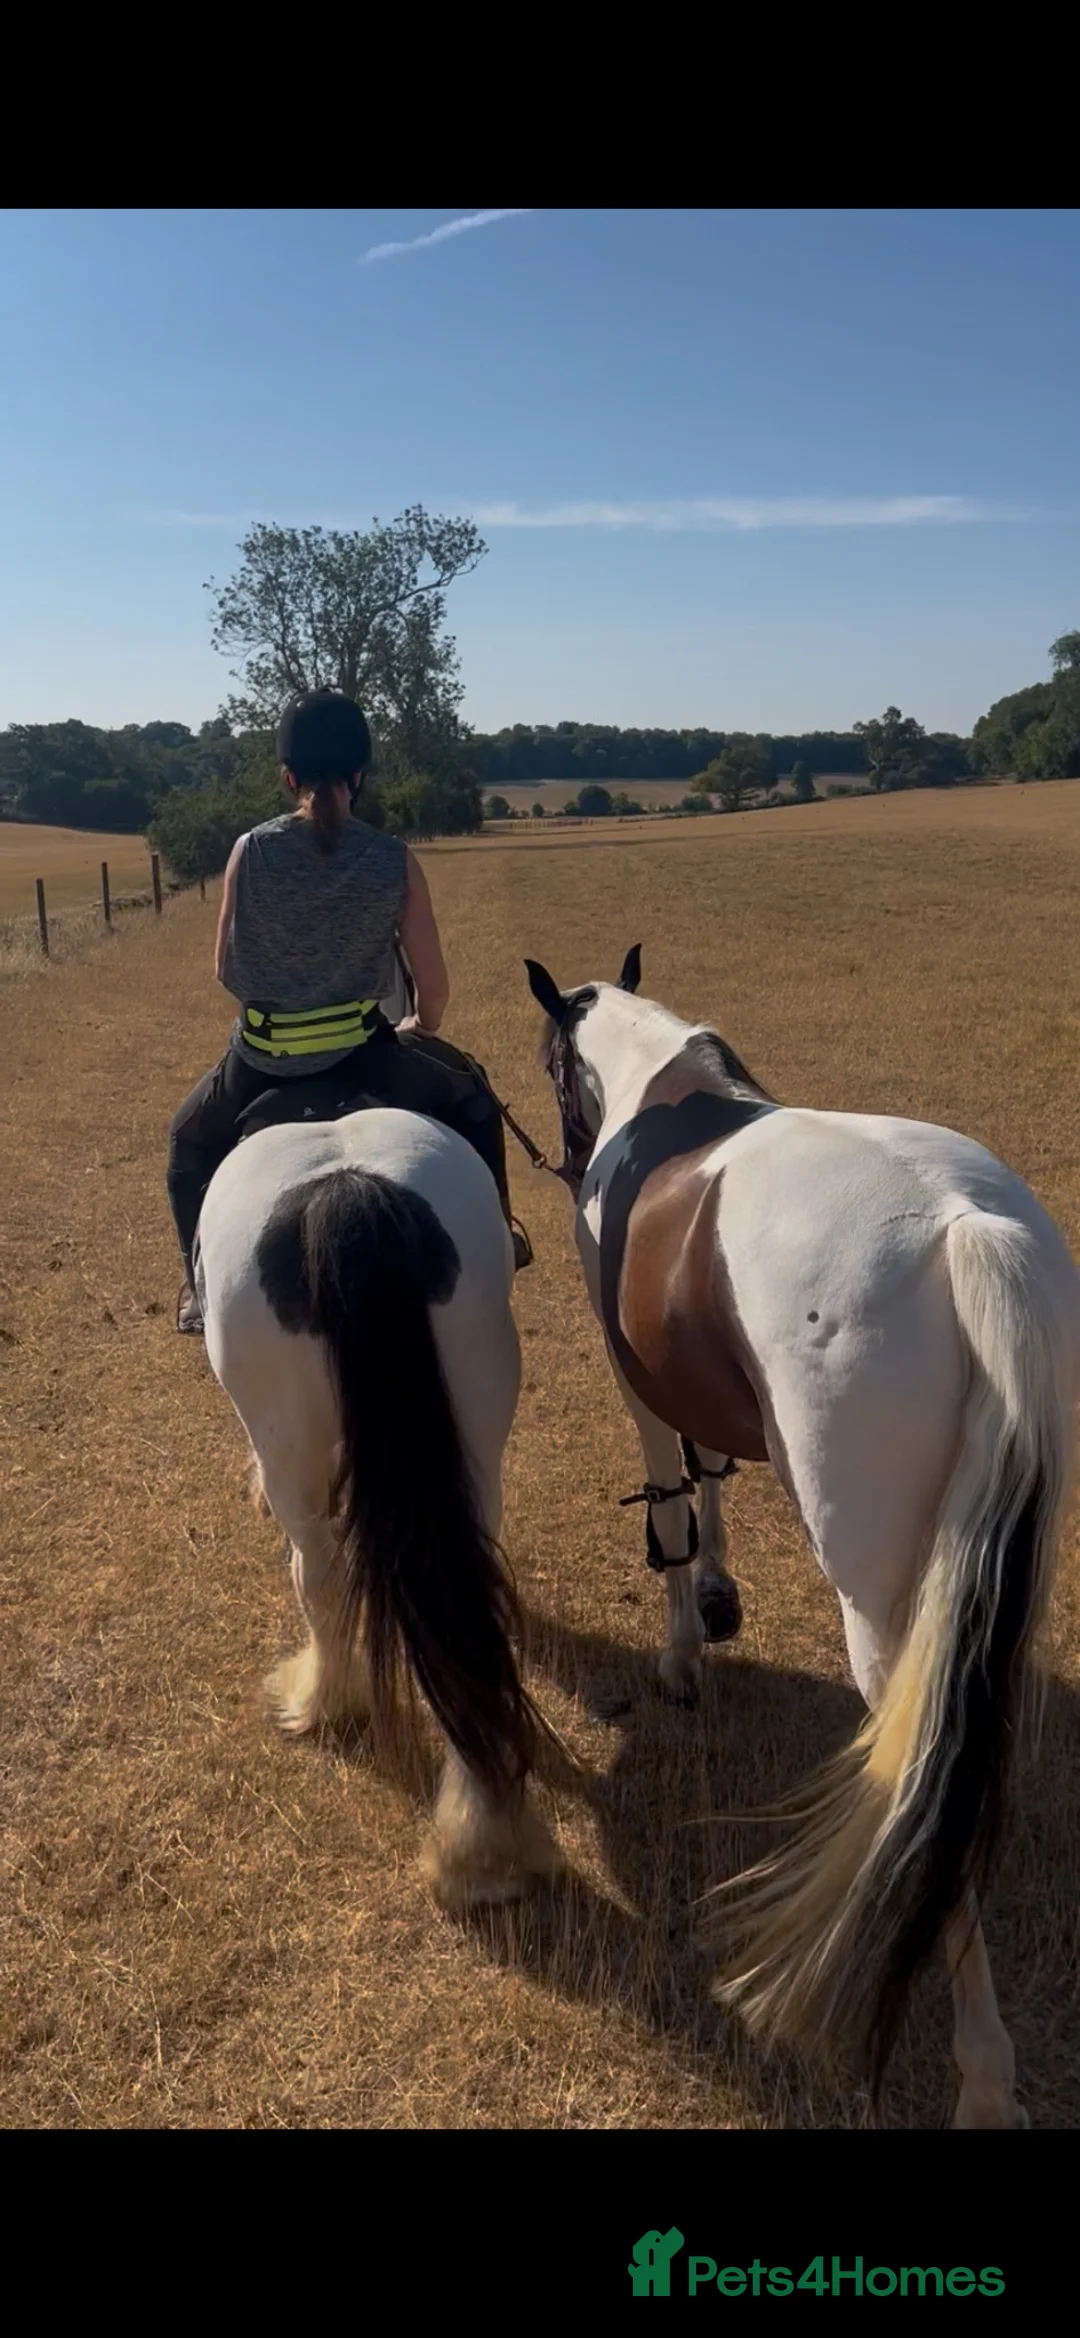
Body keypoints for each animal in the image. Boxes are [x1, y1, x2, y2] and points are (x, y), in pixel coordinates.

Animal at [193, 1103, 556, 1909]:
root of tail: (348, 1194)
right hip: (474, 1430)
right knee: (461, 1602)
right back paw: (481, 1842)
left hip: (287, 1441)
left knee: (319, 1577)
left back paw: (320, 1699)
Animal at [524, 944, 1080, 2128]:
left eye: (553, 1065)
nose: (566, 1156)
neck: (660, 1096)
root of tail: (967, 1232)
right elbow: (709, 1474)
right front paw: (722, 1595)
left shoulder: (639, 1389)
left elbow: (673, 1498)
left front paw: (687, 1642)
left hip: (887, 1618)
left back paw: (983, 2076)